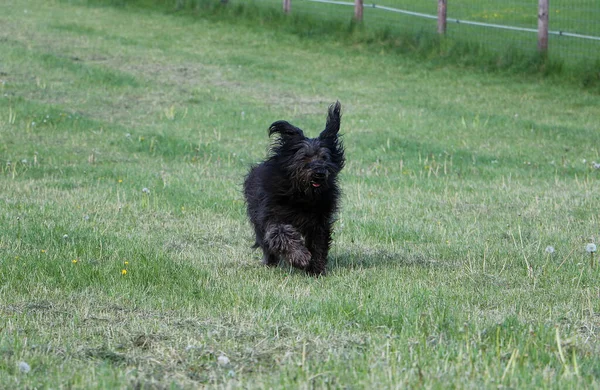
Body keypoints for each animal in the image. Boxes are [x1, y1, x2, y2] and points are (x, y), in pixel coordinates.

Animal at [244, 102, 344, 276]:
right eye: (305, 157)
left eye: (324, 157)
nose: (319, 173)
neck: (302, 195)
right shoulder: (272, 214)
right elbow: (281, 233)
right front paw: (300, 257)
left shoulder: (319, 220)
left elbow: (318, 243)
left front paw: (316, 269)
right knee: (266, 242)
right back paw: (271, 262)